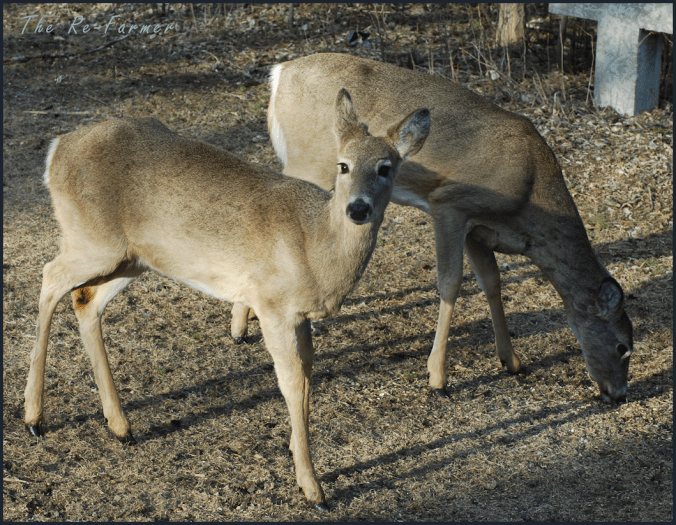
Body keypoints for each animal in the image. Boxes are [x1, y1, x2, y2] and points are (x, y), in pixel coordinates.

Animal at [23, 89, 431, 512]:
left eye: (386, 168)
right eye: (343, 165)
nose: (358, 208)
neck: (317, 248)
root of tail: (57, 149)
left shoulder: (301, 316)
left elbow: (307, 377)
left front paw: (295, 453)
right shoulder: (272, 304)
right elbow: (291, 382)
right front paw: (313, 488)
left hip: (132, 258)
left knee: (85, 300)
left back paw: (120, 426)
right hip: (93, 241)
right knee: (50, 278)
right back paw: (34, 418)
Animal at [230, 53, 633, 403]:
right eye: (623, 347)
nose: (619, 394)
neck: (528, 201)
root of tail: (280, 73)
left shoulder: (478, 230)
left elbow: (492, 282)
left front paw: (512, 360)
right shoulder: (450, 204)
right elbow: (450, 283)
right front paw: (437, 377)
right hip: (308, 162)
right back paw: (239, 328)